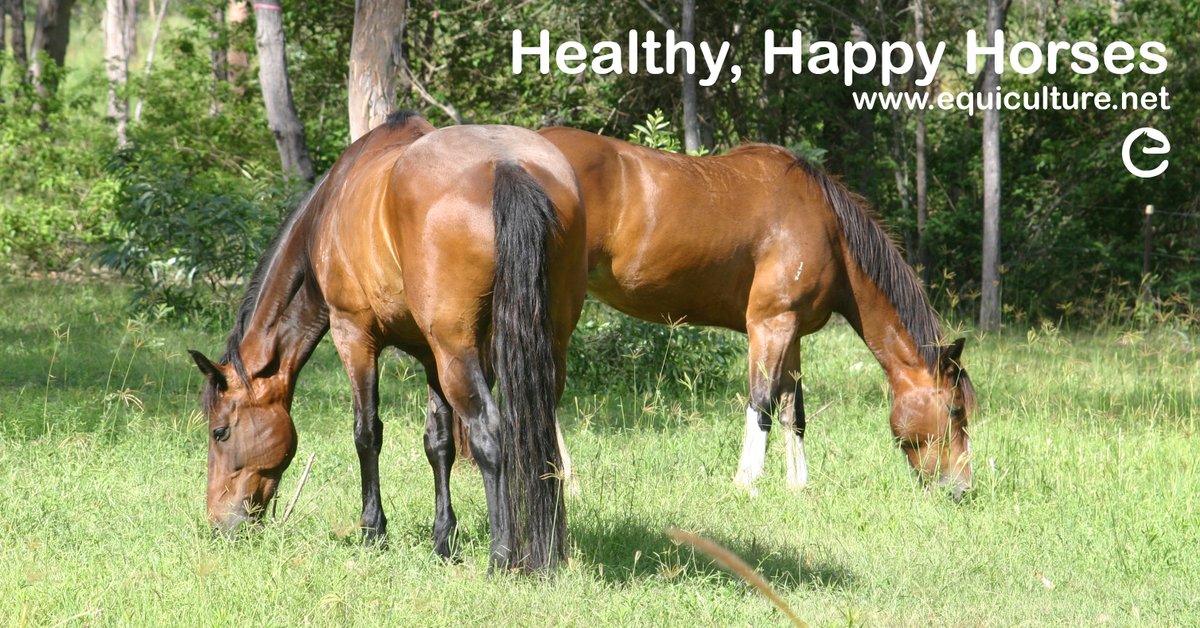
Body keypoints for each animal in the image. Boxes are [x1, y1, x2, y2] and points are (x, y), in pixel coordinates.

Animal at [188, 111, 587, 572]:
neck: (326, 213)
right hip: (541, 345)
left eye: (220, 432)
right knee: (539, 434)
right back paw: (549, 552)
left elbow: (367, 433)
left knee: (490, 432)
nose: (219, 522)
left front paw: (373, 532)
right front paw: (442, 542)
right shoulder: (430, 357)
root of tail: (507, 165)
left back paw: (502, 557)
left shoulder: (354, 336)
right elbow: (439, 442)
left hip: (458, 352)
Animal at [537, 126, 976, 497]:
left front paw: (798, 485)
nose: (960, 489)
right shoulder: (770, 324)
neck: (828, 230)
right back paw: (567, 482)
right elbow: (762, 402)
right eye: (955, 410)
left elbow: (793, 410)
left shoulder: (792, 331)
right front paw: (747, 483)